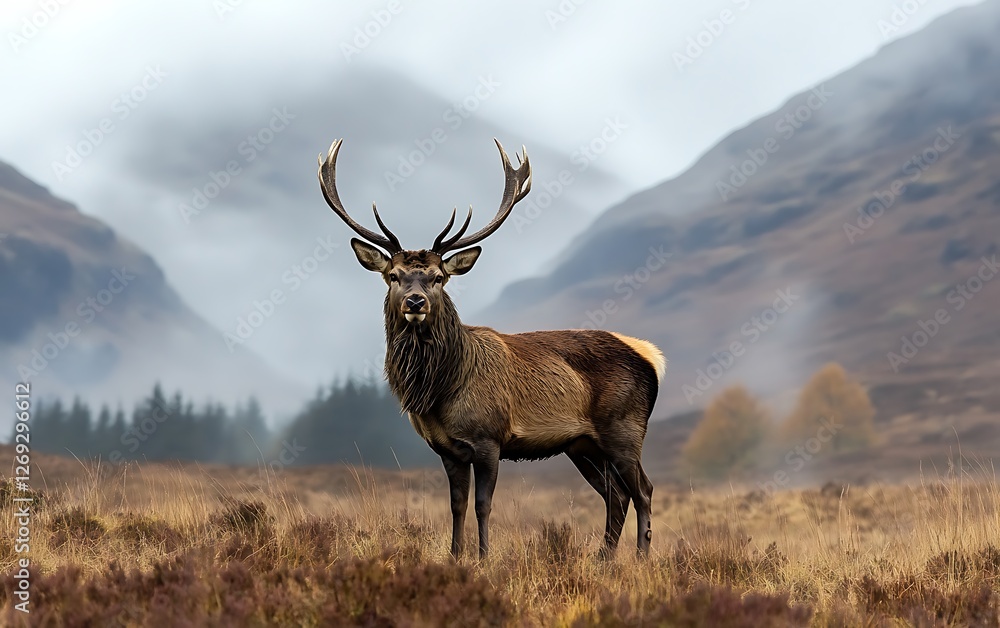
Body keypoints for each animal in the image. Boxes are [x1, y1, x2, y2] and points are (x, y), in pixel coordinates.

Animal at [317, 138, 666, 559]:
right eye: (393, 275)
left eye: (439, 277)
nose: (416, 302)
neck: (440, 390)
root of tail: (651, 357)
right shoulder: (447, 449)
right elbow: (456, 505)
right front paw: (455, 556)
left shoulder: (489, 439)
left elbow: (483, 504)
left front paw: (484, 557)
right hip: (582, 446)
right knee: (616, 495)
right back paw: (604, 559)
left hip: (624, 430)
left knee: (643, 490)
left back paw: (641, 557)